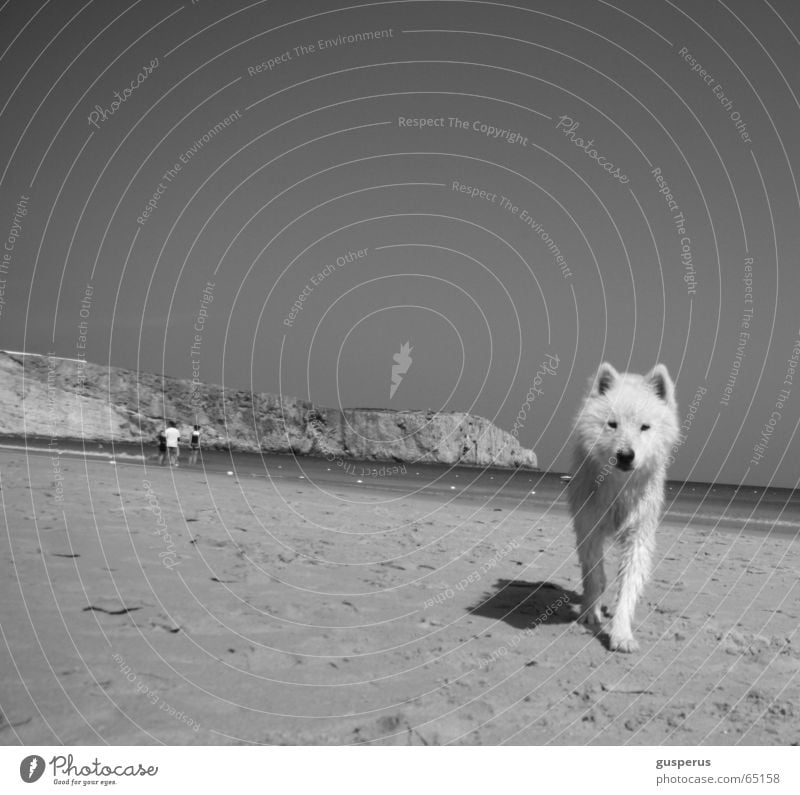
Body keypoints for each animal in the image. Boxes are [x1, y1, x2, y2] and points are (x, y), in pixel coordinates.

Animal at [564, 364, 680, 648]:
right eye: (612, 424)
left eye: (644, 427)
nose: (625, 456)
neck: (620, 488)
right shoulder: (590, 528)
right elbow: (594, 576)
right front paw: (591, 613)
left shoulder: (638, 536)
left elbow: (628, 588)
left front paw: (621, 634)